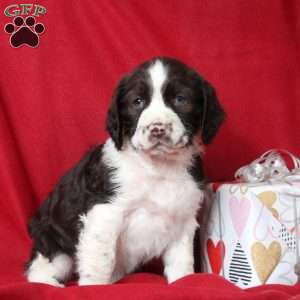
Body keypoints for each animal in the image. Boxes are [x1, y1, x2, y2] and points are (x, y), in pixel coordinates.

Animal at [25, 55, 224, 286]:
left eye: (180, 99)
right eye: (137, 102)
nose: (157, 129)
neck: (158, 167)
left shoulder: (182, 217)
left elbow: (181, 261)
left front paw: (185, 282)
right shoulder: (105, 212)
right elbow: (99, 261)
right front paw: (92, 288)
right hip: (54, 246)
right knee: (38, 271)